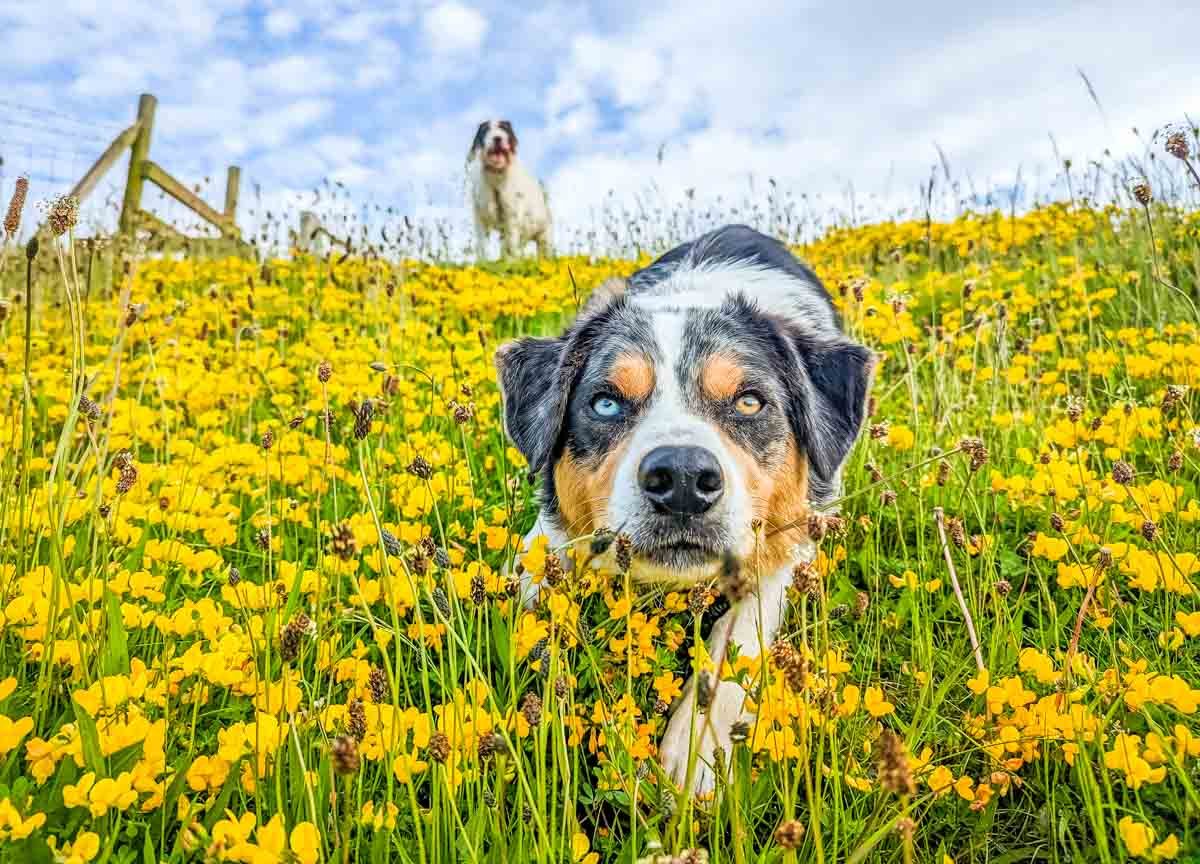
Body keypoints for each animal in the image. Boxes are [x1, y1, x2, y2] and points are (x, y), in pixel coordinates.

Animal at [468, 120, 552, 260]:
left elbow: (511, 246)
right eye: (486, 130)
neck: (496, 176)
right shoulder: (480, 218)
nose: (497, 138)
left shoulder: (512, 218)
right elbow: (482, 246)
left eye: (503, 128)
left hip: (544, 234)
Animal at [496, 224, 873, 796]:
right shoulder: (549, 532)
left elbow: (734, 644)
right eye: (605, 403)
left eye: (749, 401)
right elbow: (529, 584)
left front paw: (693, 751)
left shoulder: (778, 551)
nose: (682, 481)